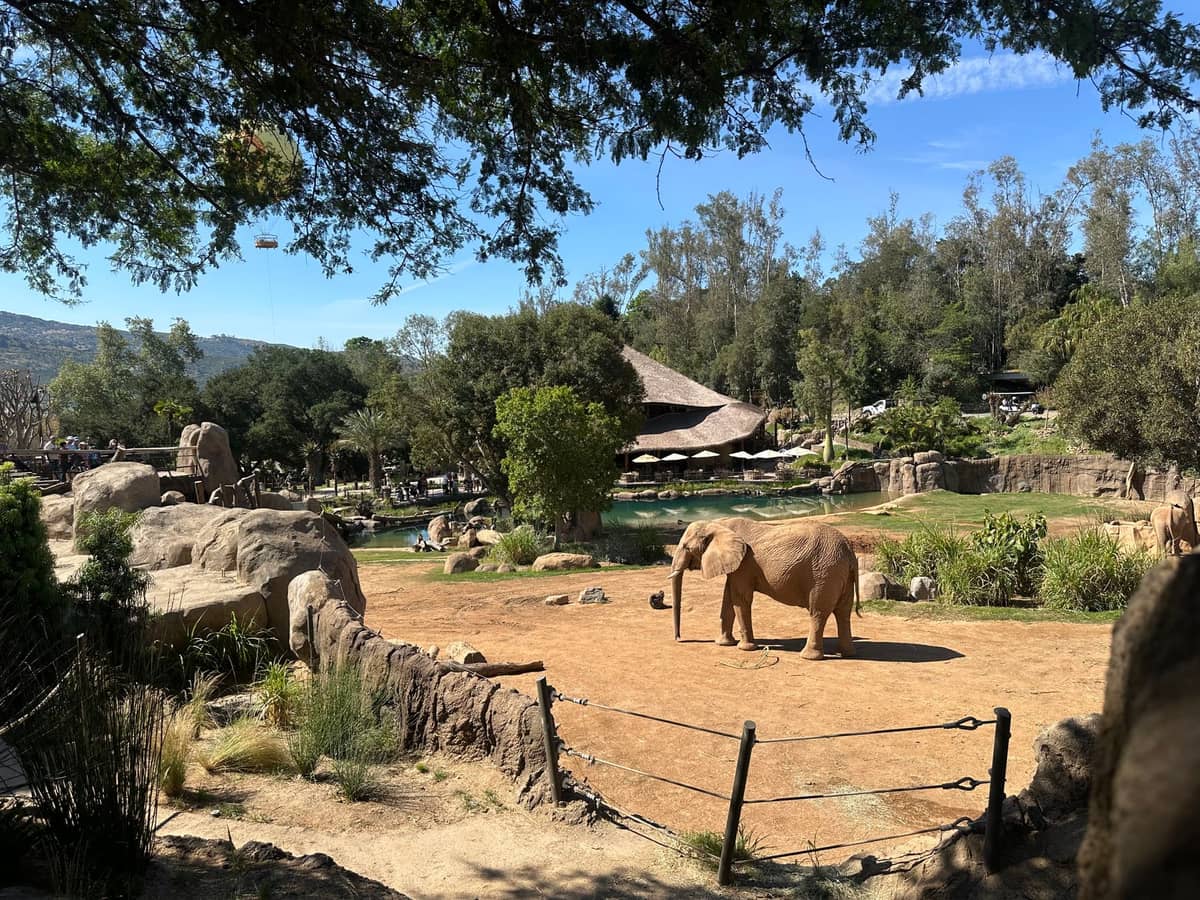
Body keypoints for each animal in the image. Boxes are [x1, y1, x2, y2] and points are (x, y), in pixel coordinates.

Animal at [667, 516, 859, 660]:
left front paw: (745, 648)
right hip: (840, 574)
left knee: (818, 613)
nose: (679, 639)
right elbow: (728, 598)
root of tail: (849, 551)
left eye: (686, 547)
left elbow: (740, 599)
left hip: (824, 574)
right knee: (843, 613)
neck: (718, 524)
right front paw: (723, 643)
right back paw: (847, 653)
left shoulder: (744, 565)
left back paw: (808, 657)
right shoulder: (736, 567)